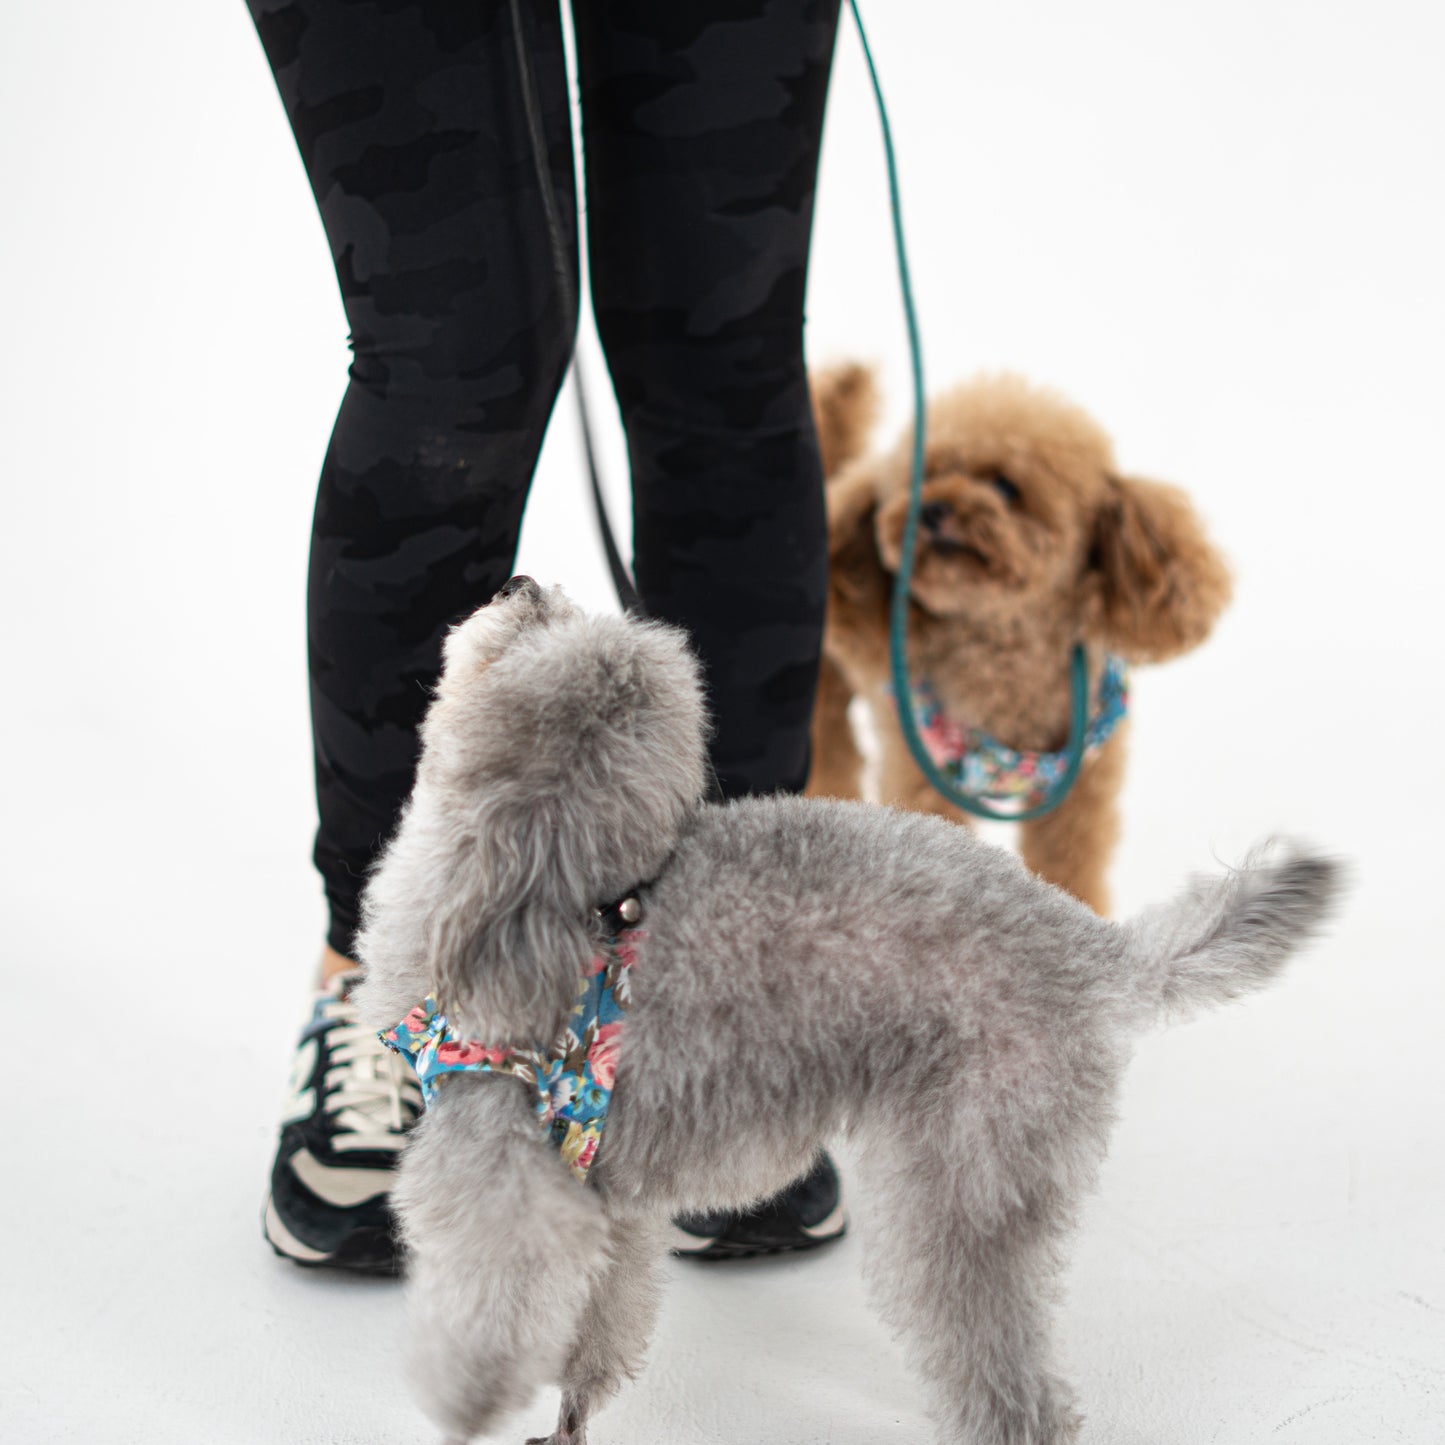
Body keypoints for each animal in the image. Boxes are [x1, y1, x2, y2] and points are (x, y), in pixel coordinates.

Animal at [355, 575, 1346, 1445]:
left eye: (535, 630)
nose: (520, 582)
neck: (551, 900)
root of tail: (1091, 950)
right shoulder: (610, 1198)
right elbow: (594, 1330)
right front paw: (567, 1421)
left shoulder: (499, 1163)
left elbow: (487, 1309)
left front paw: (462, 1405)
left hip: (964, 1178)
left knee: (1014, 1390)